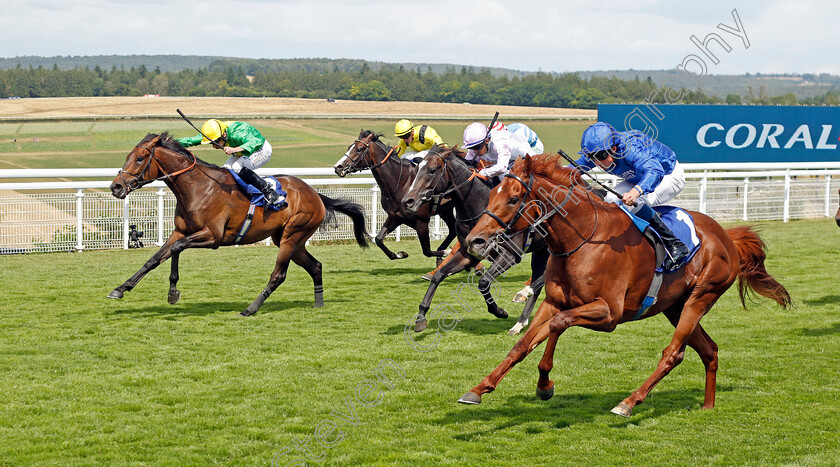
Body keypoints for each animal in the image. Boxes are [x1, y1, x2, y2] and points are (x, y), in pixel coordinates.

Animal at [107, 135, 368, 318]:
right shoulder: (180, 231)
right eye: (128, 156)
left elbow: (177, 248)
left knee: (278, 275)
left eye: (140, 159)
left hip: (292, 236)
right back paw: (318, 303)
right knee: (315, 266)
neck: (198, 187)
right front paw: (120, 289)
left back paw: (250, 309)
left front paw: (172, 293)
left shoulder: (213, 236)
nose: (116, 187)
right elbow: (153, 259)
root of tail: (315, 194)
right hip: (289, 239)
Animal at [334, 131, 460, 264]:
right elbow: (379, 239)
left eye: (359, 149)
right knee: (453, 228)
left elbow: (427, 250)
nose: (338, 167)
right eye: (349, 147)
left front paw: (446, 252)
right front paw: (400, 254)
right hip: (445, 210)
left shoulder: (421, 221)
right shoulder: (395, 217)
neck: (400, 183)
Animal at [402, 148, 548, 334]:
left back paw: (523, 296)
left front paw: (499, 311)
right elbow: (439, 275)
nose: (408, 201)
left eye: (432, 170)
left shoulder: (510, 254)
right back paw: (520, 322)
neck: (479, 207)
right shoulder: (468, 254)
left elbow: (484, 282)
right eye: (418, 168)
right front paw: (421, 316)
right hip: (541, 250)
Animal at [456, 154, 792, 416]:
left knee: (673, 353)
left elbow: (558, 325)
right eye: (491, 195)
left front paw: (544, 385)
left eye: (513, 198)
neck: (581, 240)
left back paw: (628, 402)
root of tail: (727, 237)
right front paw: (479, 388)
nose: (475, 240)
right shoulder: (553, 302)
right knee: (708, 350)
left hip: (701, 296)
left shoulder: (608, 314)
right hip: (675, 306)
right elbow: (523, 344)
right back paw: (708, 405)